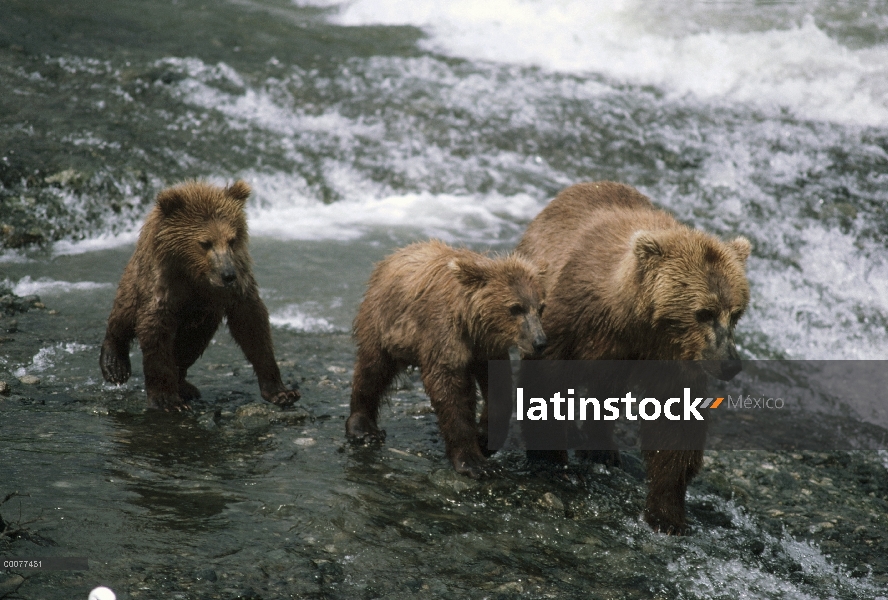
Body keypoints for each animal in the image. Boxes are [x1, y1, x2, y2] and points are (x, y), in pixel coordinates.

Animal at [100, 180, 300, 410]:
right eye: (205, 242)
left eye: (231, 240)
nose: (228, 275)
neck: (194, 273)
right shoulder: (165, 283)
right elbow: (155, 329)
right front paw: (167, 400)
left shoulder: (237, 284)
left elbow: (252, 325)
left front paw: (281, 392)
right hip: (138, 276)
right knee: (125, 310)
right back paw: (115, 365)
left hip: (203, 316)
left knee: (191, 343)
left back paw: (184, 385)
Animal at [346, 239, 540, 478]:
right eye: (515, 308)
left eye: (540, 307)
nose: (539, 341)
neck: (471, 323)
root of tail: (390, 257)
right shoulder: (442, 333)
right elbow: (449, 390)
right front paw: (472, 461)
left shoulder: (487, 349)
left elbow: (498, 389)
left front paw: (484, 438)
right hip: (383, 322)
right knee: (373, 368)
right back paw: (363, 428)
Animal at [512, 180, 748, 532]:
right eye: (704, 312)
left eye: (735, 313)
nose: (730, 363)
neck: (635, 319)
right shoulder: (575, 319)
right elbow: (545, 381)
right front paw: (550, 458)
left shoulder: (668, 356)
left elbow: (675, 423)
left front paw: (667, 514)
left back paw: (602, 450)